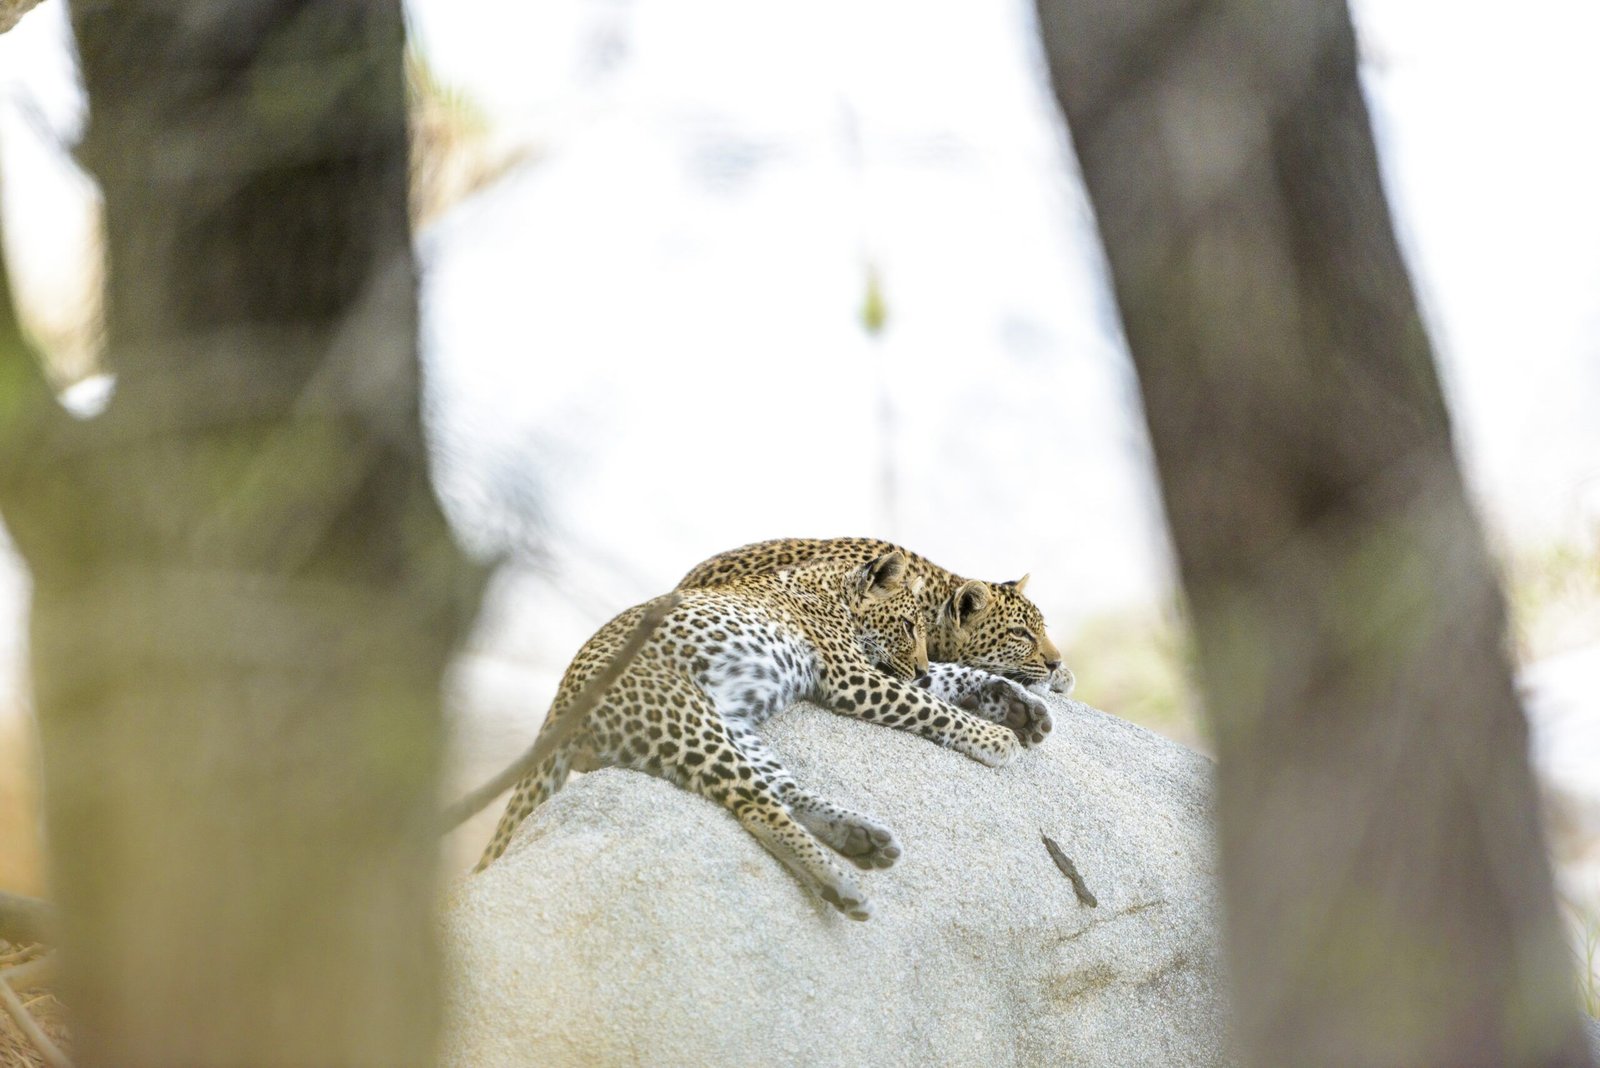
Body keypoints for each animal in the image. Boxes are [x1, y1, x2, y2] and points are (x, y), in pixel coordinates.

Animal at [474, 550, 1039, 920]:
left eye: (923, 629)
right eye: (905, 626)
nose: (917, 660)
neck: (829, 588)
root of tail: (560, 699)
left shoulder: (873, 670)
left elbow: (943, 679)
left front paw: (1017, 704)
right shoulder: (853, 678)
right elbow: (929, 705)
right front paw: (994, 738)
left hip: (735, 728)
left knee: (778, 790)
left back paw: (862, 839)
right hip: (686, 719)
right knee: (754, 805)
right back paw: (844, 883)